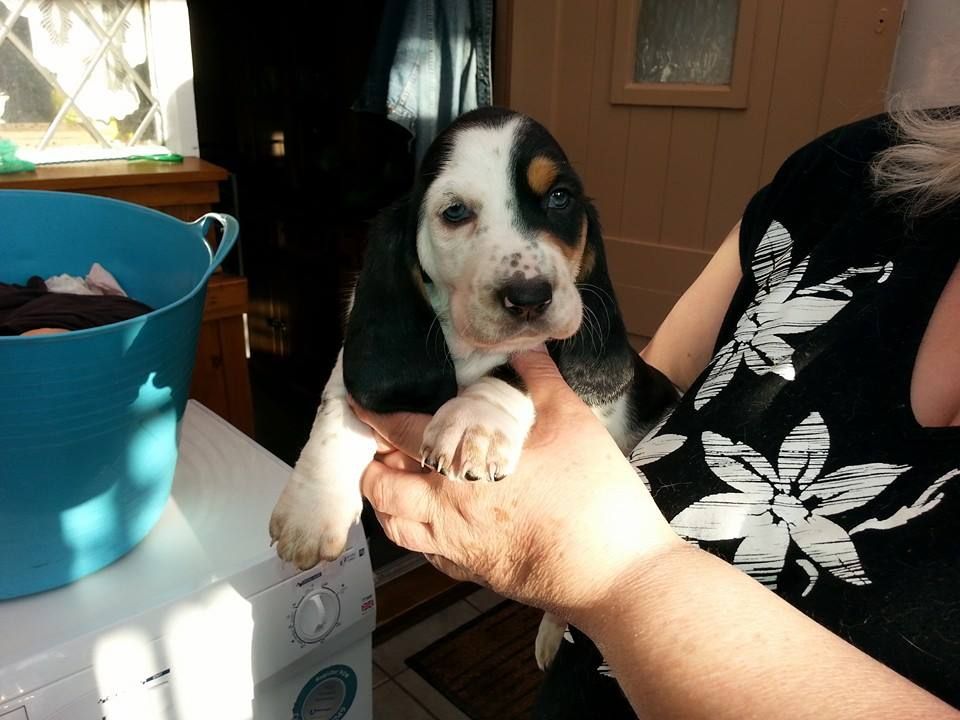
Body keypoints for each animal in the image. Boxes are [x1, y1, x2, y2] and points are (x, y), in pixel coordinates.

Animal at [268, 107, 676, 668]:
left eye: (560, 198)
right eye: (455, 211)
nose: (529, 296)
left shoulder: (550, 358)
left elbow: (512, 370)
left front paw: (472, 423)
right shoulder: (355, 367)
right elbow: (337, 413)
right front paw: (311, 512)